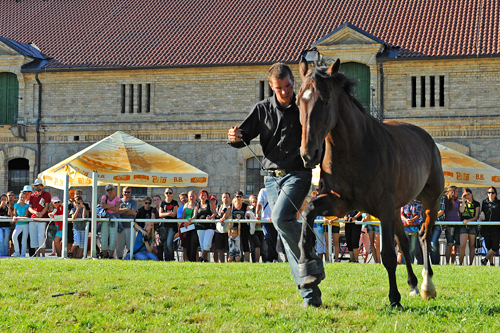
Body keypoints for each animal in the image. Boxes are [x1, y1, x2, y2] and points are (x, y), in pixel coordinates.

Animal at [294, 56, 444, 306]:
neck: (355, 149)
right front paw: (308, 271)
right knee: (404, 241)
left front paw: (394, 298)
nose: (309, 154)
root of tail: (426, 138)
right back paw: (413, 284)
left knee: (423, 235)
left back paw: (426, 285)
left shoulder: (382, 207)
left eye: (325, 101)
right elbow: (308, 212)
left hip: (430, 200)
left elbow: (388, 255)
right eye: (297, 101)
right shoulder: (340, 203)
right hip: (396, 209)